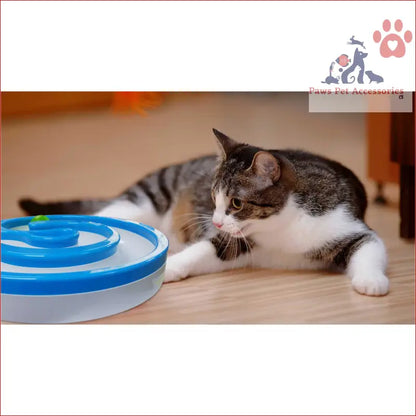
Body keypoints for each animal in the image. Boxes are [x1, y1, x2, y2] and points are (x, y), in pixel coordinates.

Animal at [20, 130, 390, 296]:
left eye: (236, 203)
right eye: (213, 196)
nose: (214, 220)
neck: (281, 230)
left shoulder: (346, 224)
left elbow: (371, 247)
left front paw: (372, 281)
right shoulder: (233, 239)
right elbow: (202, 250)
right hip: (147, 196)